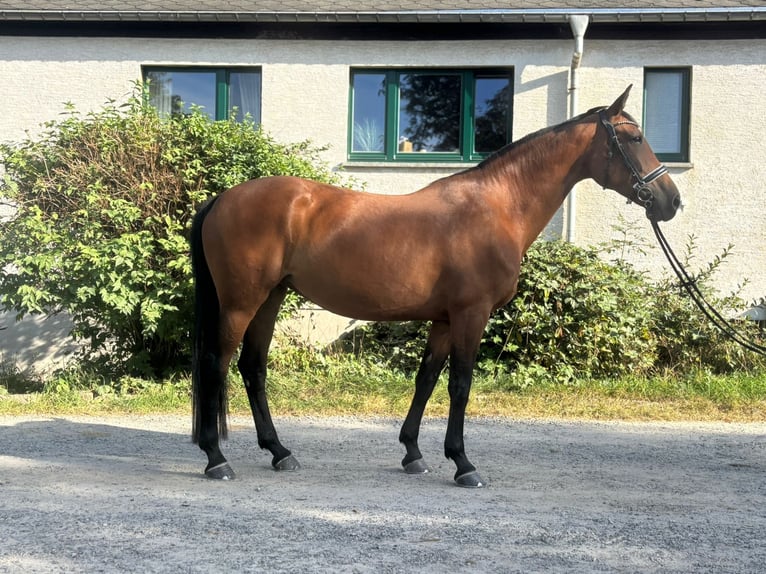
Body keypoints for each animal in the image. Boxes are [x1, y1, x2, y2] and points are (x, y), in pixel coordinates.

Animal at [189, 85, 681, 487]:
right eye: (634, 139)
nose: (671, 201)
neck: (498, 206)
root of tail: (222, 198)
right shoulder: (471, 315)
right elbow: (460, 385)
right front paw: (463, 464)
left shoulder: (444, 320)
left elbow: (426, 379)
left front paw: (413, 454)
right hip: (242, 302)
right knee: (216, 363)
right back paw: (216, 458)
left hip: (270, 298)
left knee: (252, 368)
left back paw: (279, 452)